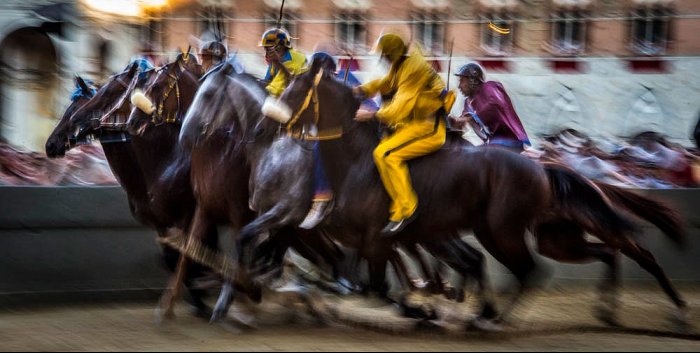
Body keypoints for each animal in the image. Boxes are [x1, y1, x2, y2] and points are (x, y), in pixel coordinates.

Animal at [256, 60, 684, 328]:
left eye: (296, 90)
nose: (264, 125)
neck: (356, 160)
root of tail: (543, 169)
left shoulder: (378, 238)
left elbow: (377, 285)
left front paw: (423, 309)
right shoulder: (368, 238)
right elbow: (365, 279)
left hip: (501, 230)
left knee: (534, 268)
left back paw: (492, 318)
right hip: (553, 235)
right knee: (600, 253)